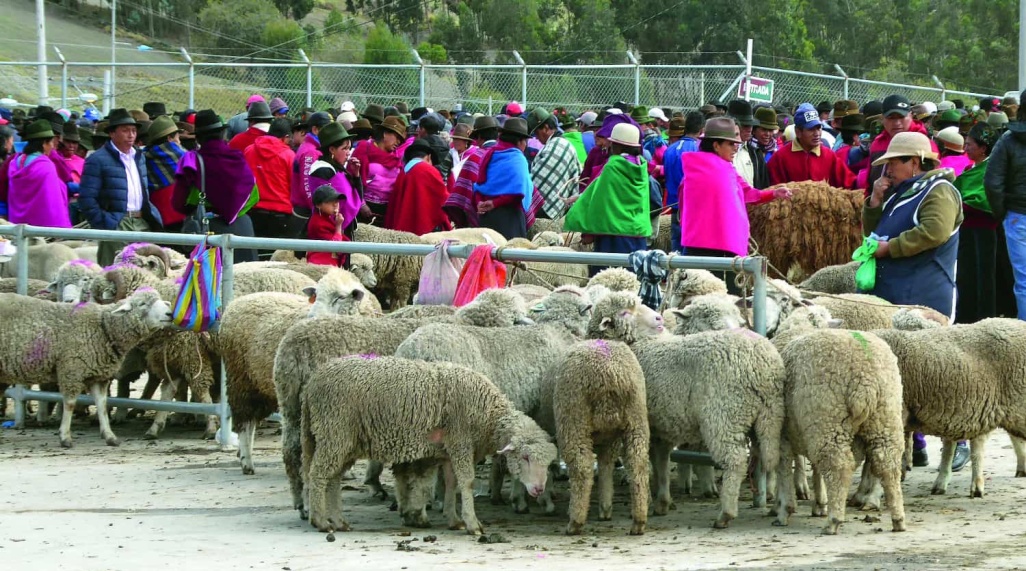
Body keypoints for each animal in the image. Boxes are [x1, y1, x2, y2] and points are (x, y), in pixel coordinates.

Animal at [0, 291, 174, 446]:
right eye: (142, 304)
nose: (169, 313)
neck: (103, 328)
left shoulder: (99, 375)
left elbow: (102, 405)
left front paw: (109, 436)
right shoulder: (72, 370)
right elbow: (70, 404)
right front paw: (65, 437)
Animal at [218, 268, 375, 473]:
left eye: (340, 297)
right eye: (316, 295)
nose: (311, 318)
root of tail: (234, 304)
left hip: (262, 384)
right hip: (240, 377)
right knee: (245, 420)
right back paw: (247, 462)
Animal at [299, 356, 558, 533]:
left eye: (549, 464)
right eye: (525, 457)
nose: (539, 489)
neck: (487, 415)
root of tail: (312, 383)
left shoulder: (449, 451)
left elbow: (452, 484)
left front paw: (454, 519)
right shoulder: (460, 442)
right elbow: (467, 482)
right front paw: (473, 524)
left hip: (344, 442)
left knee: (333, 479)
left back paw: (339, 521)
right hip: (334, 432)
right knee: (318, 475)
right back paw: (321, 522)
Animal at [771, 328, 911, 533]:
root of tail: (865, 377)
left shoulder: (781, 435)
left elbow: (783, 469)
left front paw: (783, 510)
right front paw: (818, 504)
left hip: (828, 420)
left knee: (839, 466)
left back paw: (833, 521)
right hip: (885, 418)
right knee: (889, 465)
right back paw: (898, 519)